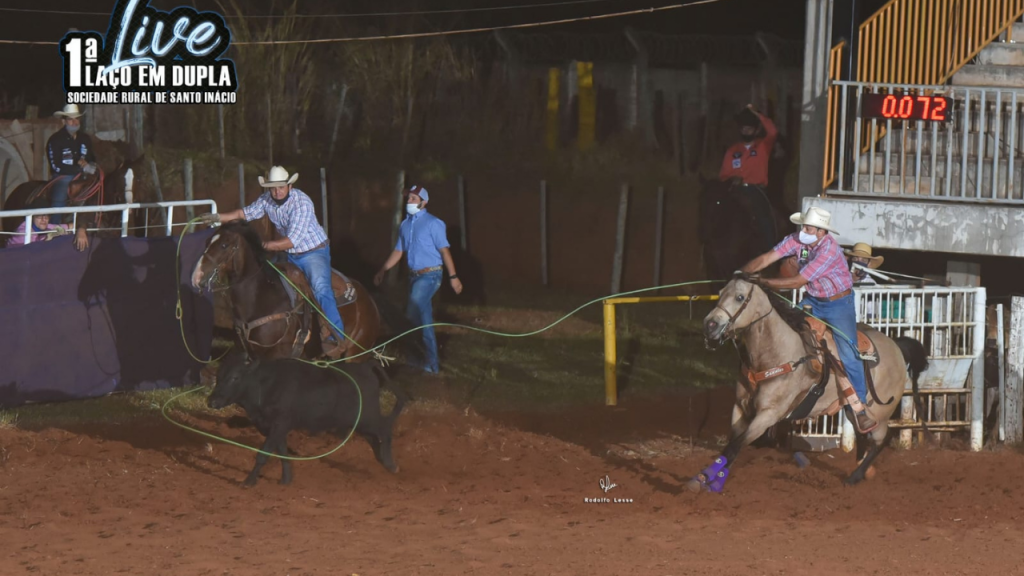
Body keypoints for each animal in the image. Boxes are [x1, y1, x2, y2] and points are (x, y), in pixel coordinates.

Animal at [190, 218, 382, 358]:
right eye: (206, 242)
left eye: (224, 245)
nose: (196, 277)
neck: (259, 299)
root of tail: (369, 300)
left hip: (356, 354)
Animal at [696, 272, 929, 487]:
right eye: (720, 294)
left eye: (740, 297)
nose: (709, 325)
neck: (775, 352)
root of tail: (897, 346)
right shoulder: (740, 407)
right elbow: (731, 444)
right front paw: (710, 476)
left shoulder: (769, 414)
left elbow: (735, 446)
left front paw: (705, 480)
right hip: (851, 408)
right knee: (863, 433)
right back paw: (863, 469)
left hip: (880, 411)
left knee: (881, 439)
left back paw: (854, 477)